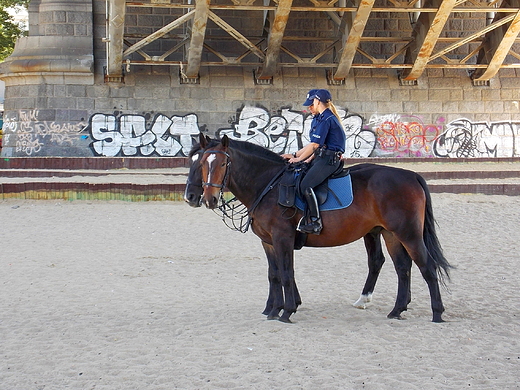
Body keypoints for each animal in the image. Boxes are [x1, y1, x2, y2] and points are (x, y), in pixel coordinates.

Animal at [195, 134, 450, 322]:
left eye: (223, 163)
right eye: (203, 164)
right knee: (403, 268)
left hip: (409, 233)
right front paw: (273, 310)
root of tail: (411, 175)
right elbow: (274, 274)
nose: (209, 199)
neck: (268, 185)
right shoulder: (267, 241)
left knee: (427, 266)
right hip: (391, 234)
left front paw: (287, 311)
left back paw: (437, 312)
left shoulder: (282, 238)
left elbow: (287, 273)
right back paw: (397, 310)